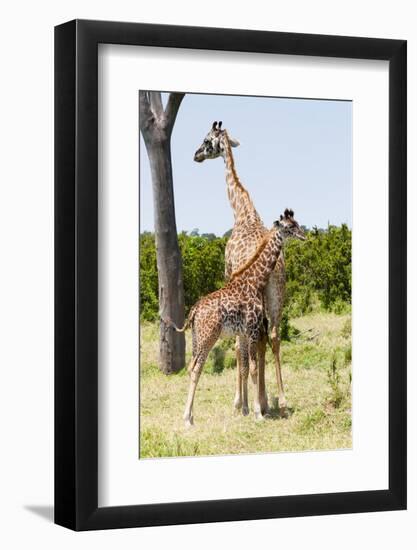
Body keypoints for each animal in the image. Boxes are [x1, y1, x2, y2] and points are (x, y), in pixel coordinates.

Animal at [164, 209, 304, 430]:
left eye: (297, 224)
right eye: (290, 227)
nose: (303, 235)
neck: (255, 280)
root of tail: (193, 311)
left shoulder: (245, 332)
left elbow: (247, 367)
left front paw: (249, 409)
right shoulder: (253, 329)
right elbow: (254, 368)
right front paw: (258, 413)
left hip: (196, 339)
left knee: (191, 367)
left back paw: (191, 416)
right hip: (208, 338)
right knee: (196, 369)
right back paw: (187, 419)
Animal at [193, 123, 288, 420]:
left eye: (206, 140)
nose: (196, 155)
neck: (243, 212)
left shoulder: (228, 277)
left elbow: (239, 347)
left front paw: (240, 402)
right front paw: (259, 401)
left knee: (254, 344)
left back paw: (258, 403)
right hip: (277, 295)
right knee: (273, 337)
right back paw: (279, 400)